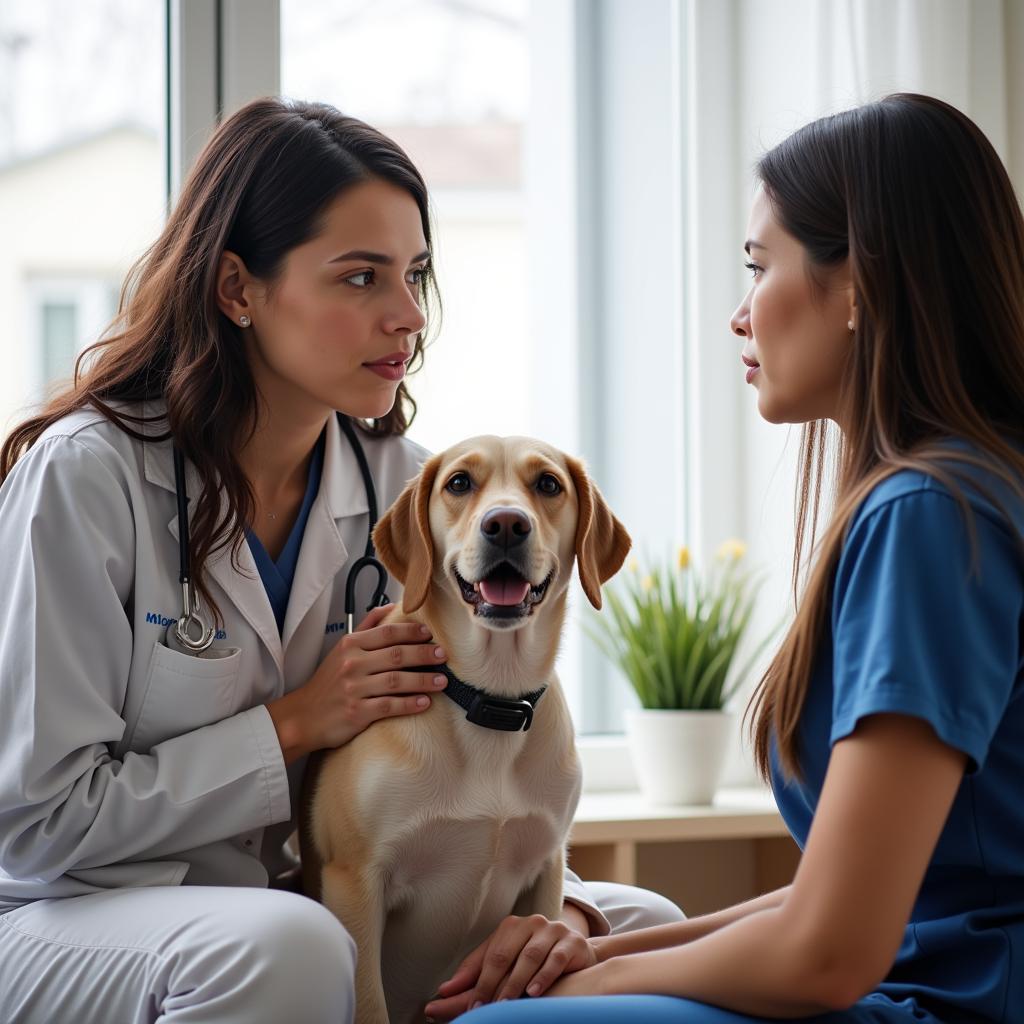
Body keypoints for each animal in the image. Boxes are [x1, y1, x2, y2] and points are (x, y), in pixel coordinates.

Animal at [299, 434, 626, 1024]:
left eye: (548, 484)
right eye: (459, 483)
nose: (506, 524)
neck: (491, 700)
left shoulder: (546, 873)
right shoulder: (353, 882)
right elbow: (368, 1002)